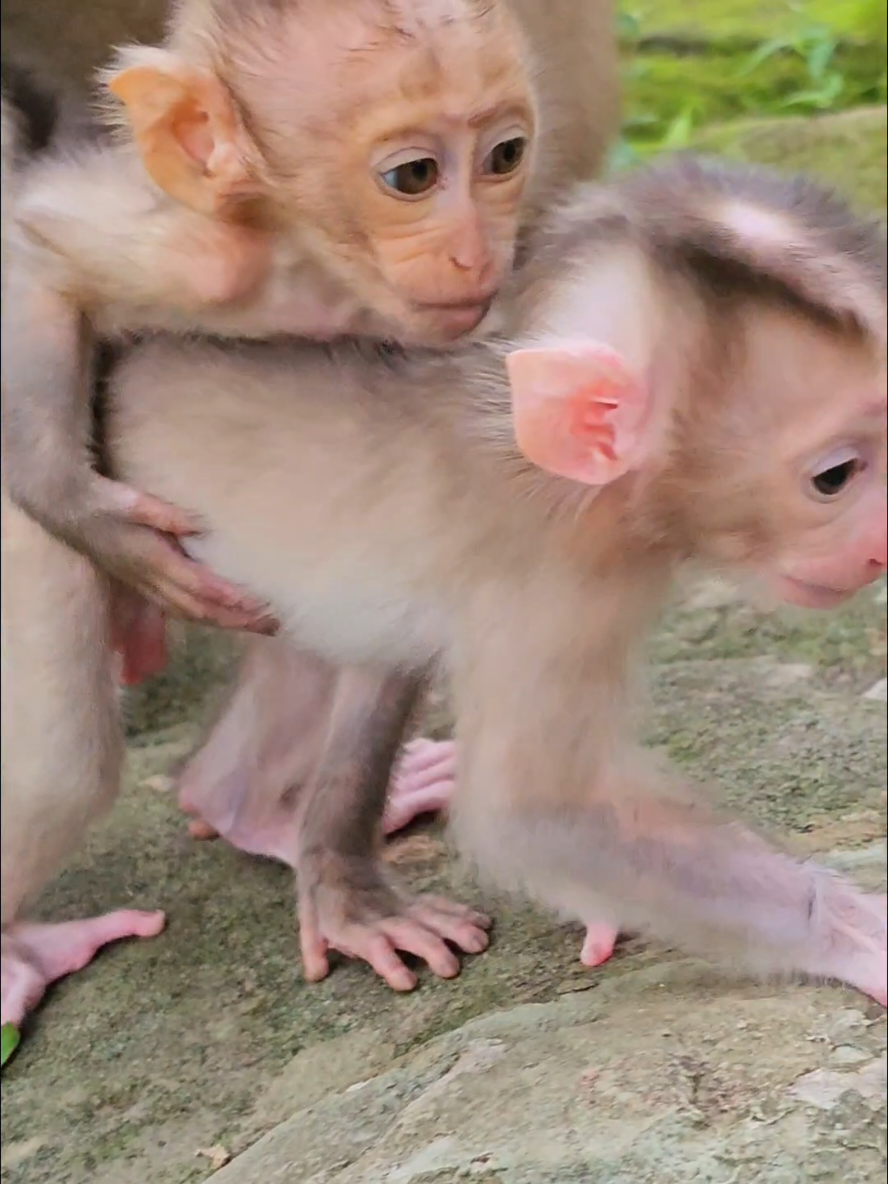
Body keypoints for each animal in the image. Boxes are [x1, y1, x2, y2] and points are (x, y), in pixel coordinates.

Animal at [81, 155, 884, 1012]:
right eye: (835, 477)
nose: (881, 549)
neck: (563, 477)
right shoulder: (557, 582)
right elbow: (536, 810)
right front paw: (852, 929)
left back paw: (243, 807)